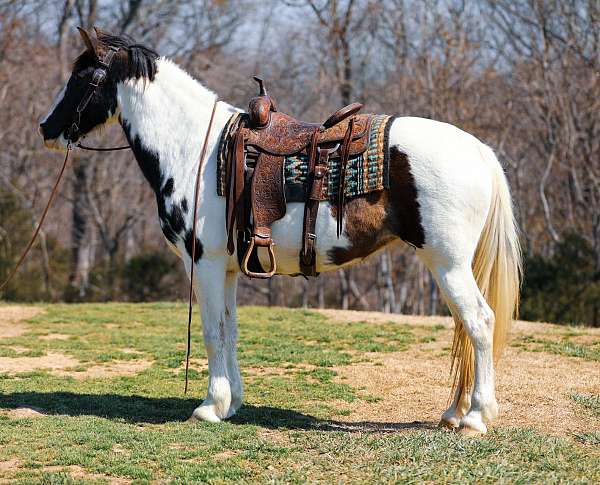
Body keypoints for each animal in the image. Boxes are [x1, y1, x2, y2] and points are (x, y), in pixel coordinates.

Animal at [39, 27, 524, 434]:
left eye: (83, 77)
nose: (47, 128)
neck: (195, 148)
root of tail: (478, 151)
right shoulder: (227, 269)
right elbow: (230, 329)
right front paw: (231, 403)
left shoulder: (205, 265)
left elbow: (213, 332)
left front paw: (209, 407)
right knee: (465, 328)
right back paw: (454, 413)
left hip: (448, 264)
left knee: (478, 323)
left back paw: (476, 417)